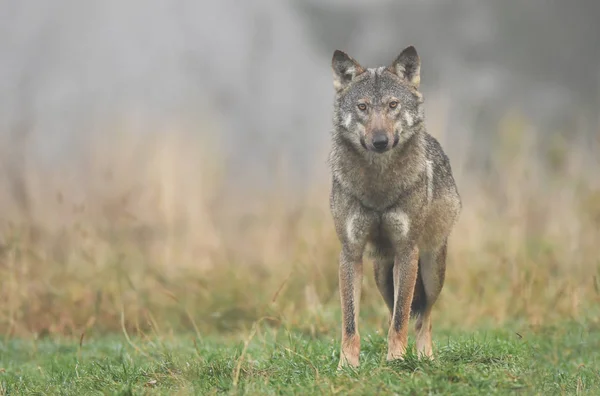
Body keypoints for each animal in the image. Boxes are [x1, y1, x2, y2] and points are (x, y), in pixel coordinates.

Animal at [328, 46, 464, 368]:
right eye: (363, 107)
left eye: (393, 105)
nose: (380, 140)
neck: (379, 186)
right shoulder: (350, 253)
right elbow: (350, 321)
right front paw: (347, 365)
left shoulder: (407, 250)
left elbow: (403, 318)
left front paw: (396, 360)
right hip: (381, 274)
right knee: (398, 311)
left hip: (431, 270)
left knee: (424, 317)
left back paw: (424, 357)